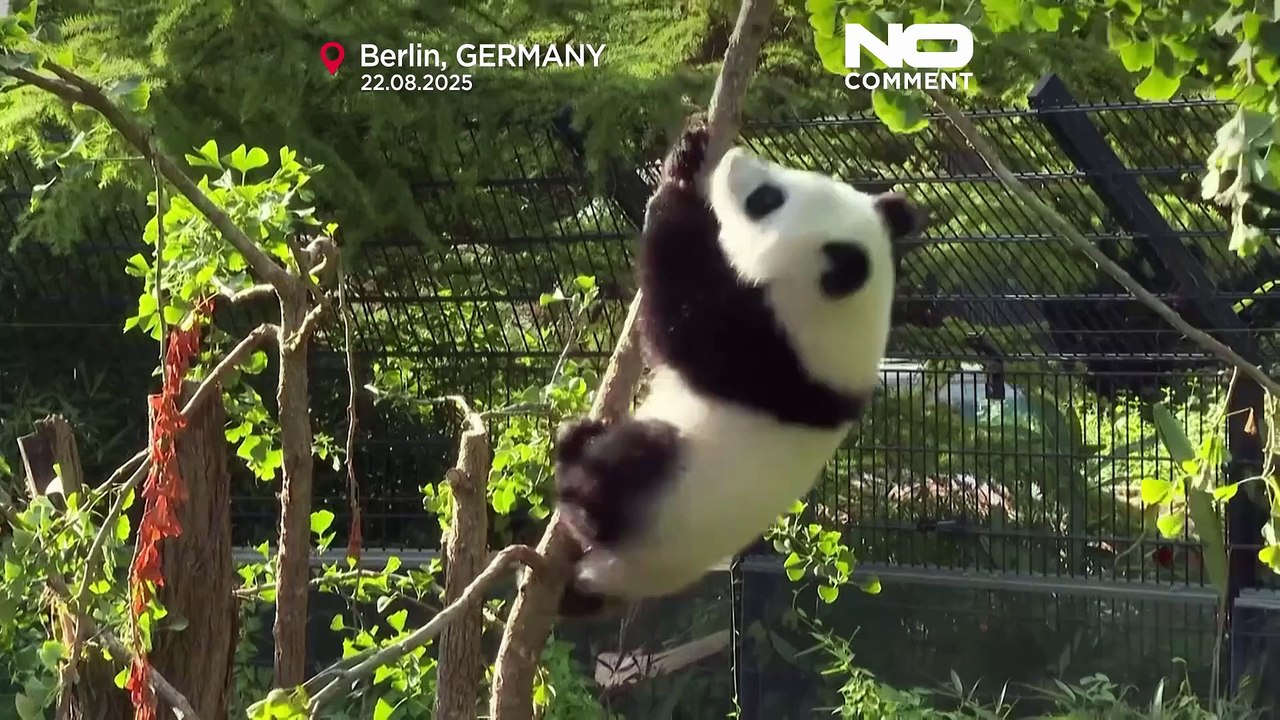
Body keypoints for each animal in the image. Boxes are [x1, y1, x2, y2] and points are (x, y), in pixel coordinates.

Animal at [551, 121, 925, 617]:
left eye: (766, 199)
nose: (736, 159)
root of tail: (609, 578)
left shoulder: (766, 354)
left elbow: (677, 318)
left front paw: (678, 181)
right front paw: (691, 145)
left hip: (665, 508)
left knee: (627, 468)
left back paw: (575, 461)